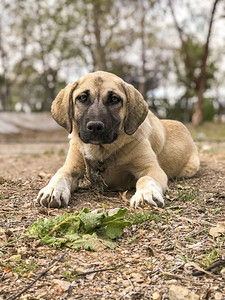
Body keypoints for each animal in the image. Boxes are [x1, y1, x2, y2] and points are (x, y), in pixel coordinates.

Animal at [36, 71, 200, 209]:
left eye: (114, 99)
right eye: (82, 98)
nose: (95, 126)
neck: (102, 151)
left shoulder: (151, 168)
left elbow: (145, 179)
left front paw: (145, 194)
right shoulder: (72, 166)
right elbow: (60, 175)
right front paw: (52, 189)